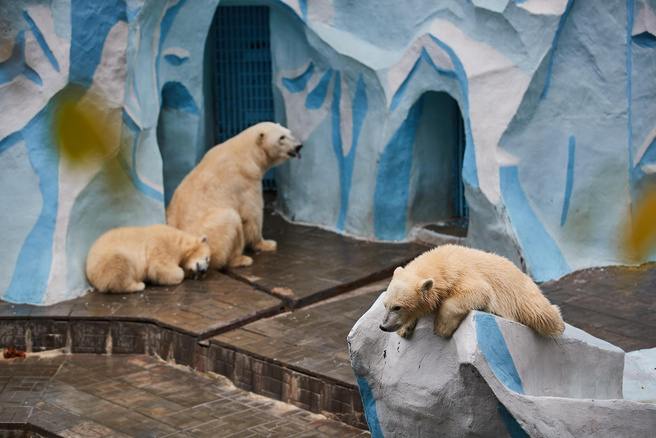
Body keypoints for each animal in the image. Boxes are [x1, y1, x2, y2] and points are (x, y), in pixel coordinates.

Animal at [168, 121, 304, 268]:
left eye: (289, 133)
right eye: (281, 137)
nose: (298, 146)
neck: (246, 153)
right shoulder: (247, 180)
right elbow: (252, 214)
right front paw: (267, 244)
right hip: (209, 236)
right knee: (231, 220)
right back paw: (241, 259)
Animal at [380, 243, 564, 338]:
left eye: (398, 307)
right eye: (385, 305)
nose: (383, 326)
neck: (442, 263)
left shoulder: (462, 273)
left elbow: (479, 291)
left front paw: (442, 328)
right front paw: (405, 328)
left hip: (522, 295)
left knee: (542, 314)